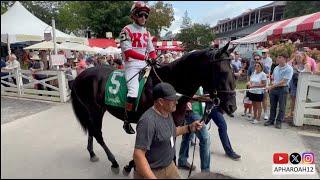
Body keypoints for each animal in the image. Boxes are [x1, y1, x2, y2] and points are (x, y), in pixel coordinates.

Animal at [71, 41, 239, 174]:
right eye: (222, 71)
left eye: (233, 71)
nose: (232, 106)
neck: (168, 84)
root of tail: (81, 75)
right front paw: (129, 166)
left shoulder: (173, 125)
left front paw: (131, 166)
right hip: (95, 110)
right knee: (97, 133)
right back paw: (114, 162)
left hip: (94, 111)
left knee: (91, 131)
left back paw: (92, 153)